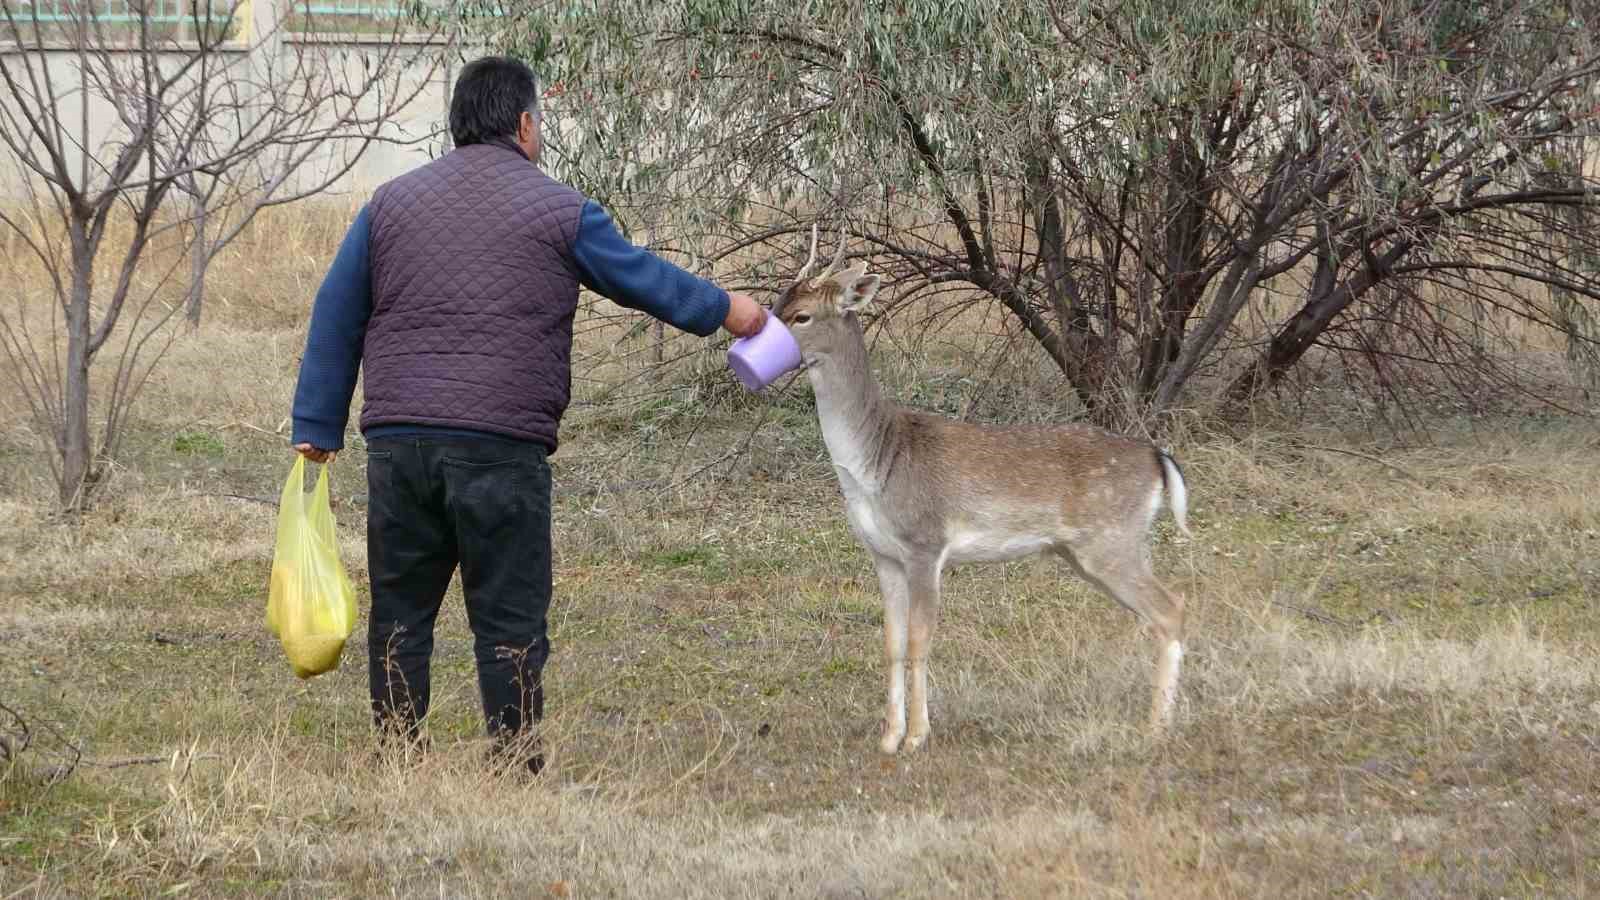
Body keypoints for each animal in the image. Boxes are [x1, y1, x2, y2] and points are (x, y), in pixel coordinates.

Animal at [768, 225, 1196, 749]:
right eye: (777, 302)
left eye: (802, 315)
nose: (755, 334)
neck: (876, 460)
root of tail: (1158, 459)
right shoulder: (883, 554)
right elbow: (891, 642)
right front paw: (888, 738)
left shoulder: (926, 542)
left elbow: (920, 640)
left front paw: (917, 737)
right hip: (1091, 550)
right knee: (1163, 611)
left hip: (1112, 540)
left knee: (1171, 609)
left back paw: (1156, 727)